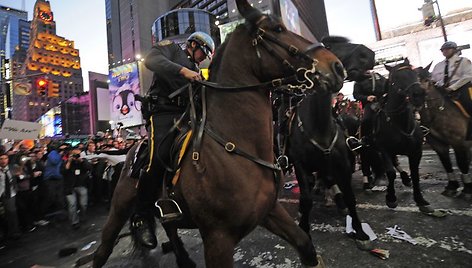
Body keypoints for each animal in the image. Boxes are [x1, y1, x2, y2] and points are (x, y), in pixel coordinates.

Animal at [92, 1, 344, 266]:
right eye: (277, 29)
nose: (336, 66)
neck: (235, 146)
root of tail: (129, 150)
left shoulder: (269, 211)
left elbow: (305, 245)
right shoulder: (218, 238)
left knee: (169, 227)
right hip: (120, 206)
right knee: (104, 248)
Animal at [280, 36, 376, 248]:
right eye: (330, 47)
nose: (368, 54)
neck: (318, 125)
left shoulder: (342, 163)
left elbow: (349, 196)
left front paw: (359, 230)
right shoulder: (300, 165)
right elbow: (306, 199)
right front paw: (304, 228)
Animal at [374, 59, 434, 214]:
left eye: (414, 73)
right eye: (395, 78)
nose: (418, 94)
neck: (399, 122)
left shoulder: (416, 152)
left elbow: (415, 174)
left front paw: (420, 200)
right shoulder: (384, 149)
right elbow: (390, 172)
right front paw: (391, 198)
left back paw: (406, 179)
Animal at [416, 63, 472, 199]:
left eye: (427, 80)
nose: (417, 98)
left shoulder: (458, 142)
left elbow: (462, 163)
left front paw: (467, 188)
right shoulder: (438, 145)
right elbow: (446, 163)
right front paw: (452, 186)